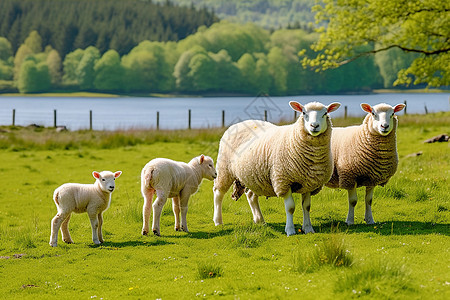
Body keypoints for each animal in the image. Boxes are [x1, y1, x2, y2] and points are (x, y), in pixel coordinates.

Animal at [214, 102, 342, 236]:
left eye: (325, 113)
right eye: (303, 113)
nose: (314, 126)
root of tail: (237, 124)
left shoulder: (309, 183)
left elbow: (306, 207)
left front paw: (308, 228)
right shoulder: (283, 182)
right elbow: (290, 207)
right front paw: (290, 230)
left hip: (254, 177)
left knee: (251, 196)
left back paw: (260, 220)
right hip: (224, 169)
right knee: (218, 193)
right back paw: (218, 221)